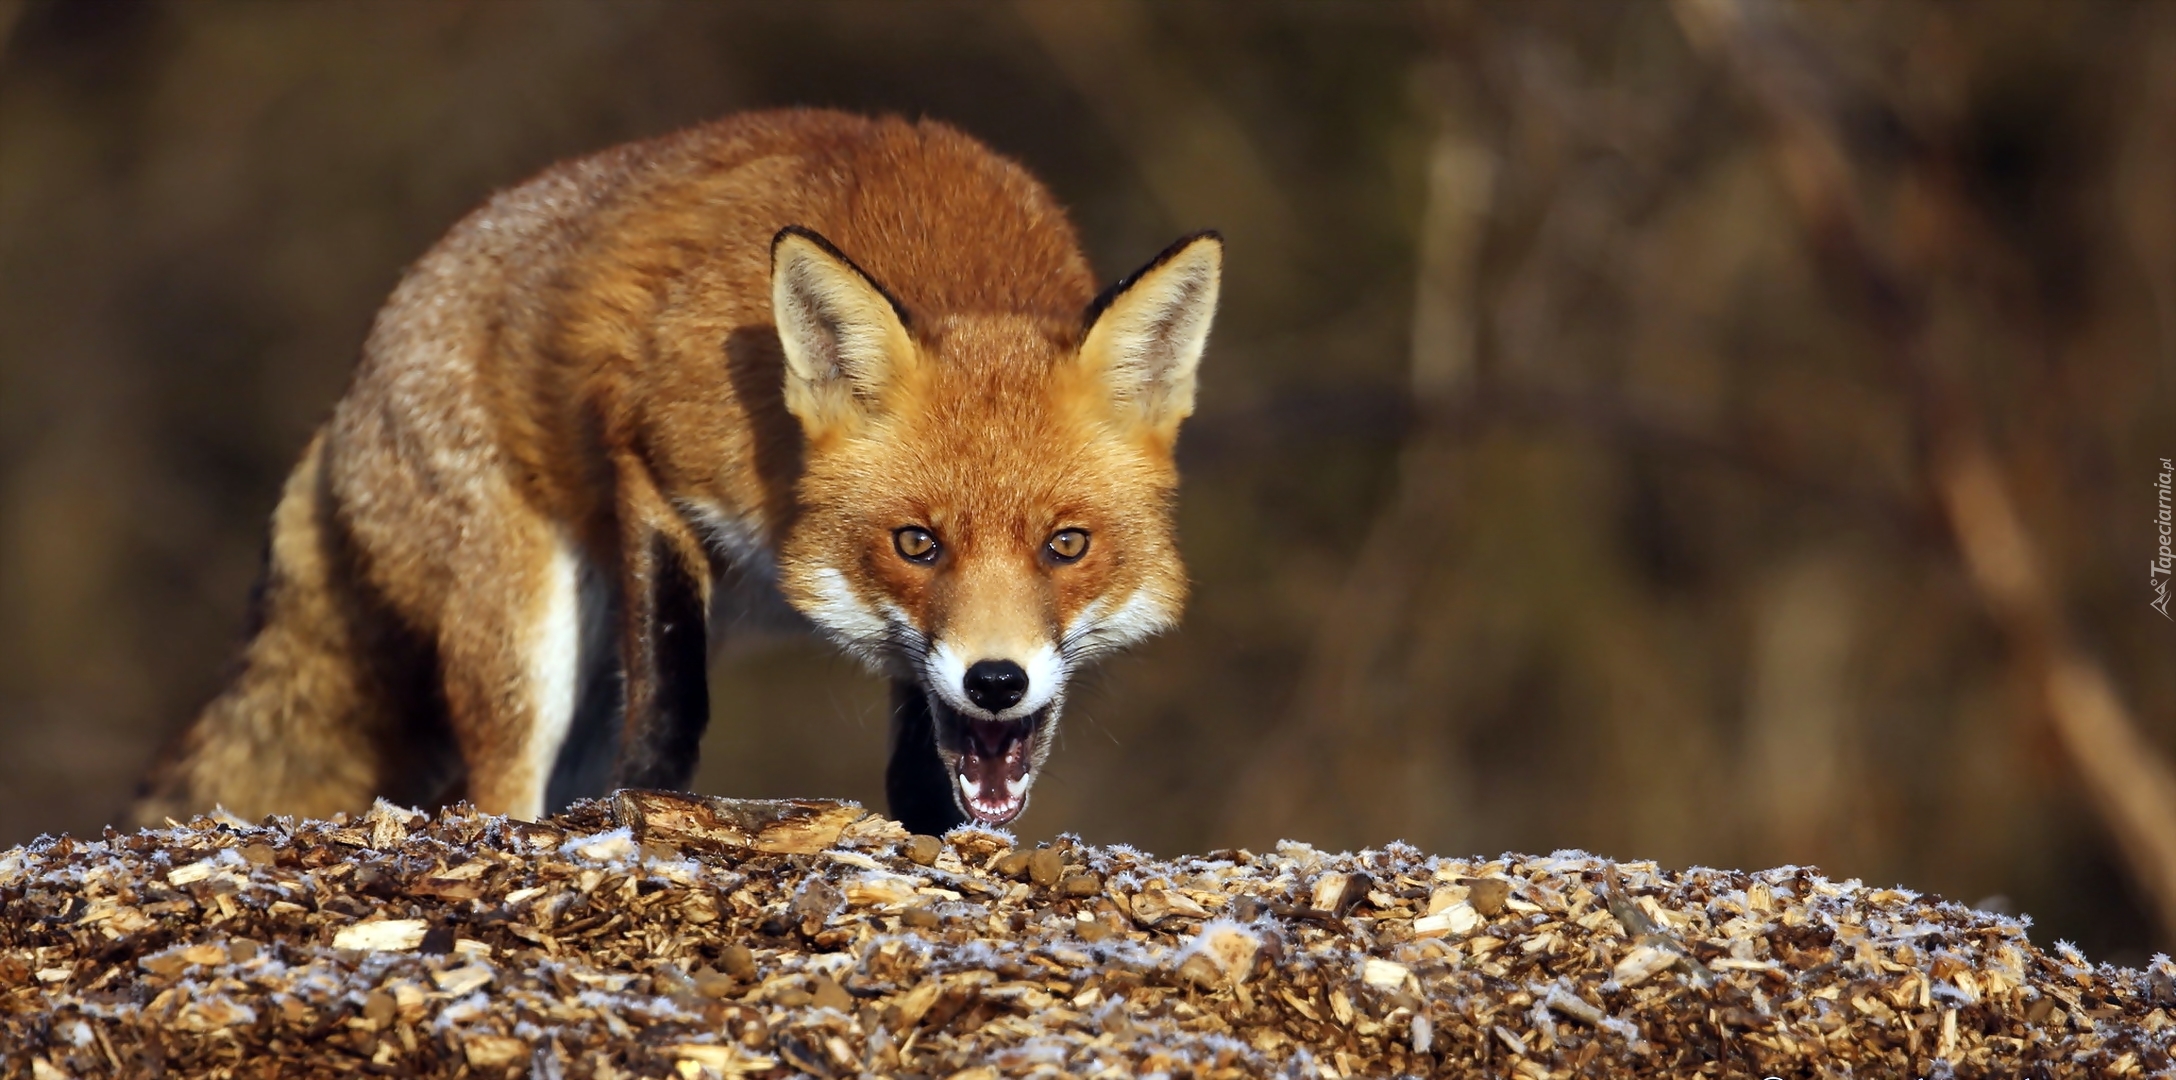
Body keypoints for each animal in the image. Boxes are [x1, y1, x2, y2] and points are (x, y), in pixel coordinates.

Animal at [131, 111, 1227, 836]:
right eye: (916, 544)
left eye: (1067, 545)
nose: (996, 681)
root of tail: (349, 396)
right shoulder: (654, 460)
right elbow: (672, 705)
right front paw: (650, 810)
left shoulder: (916, 673)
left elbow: (921, 761)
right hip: (526, 642)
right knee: (490, 794)